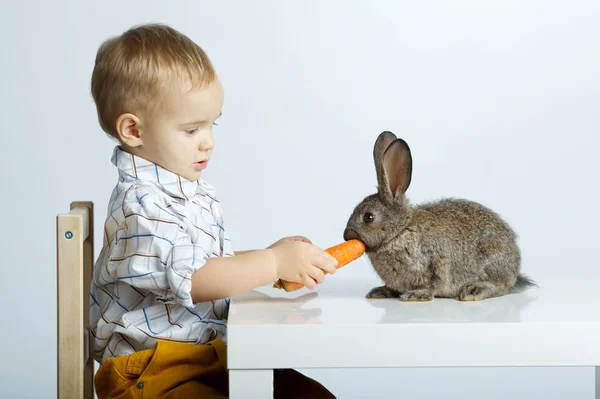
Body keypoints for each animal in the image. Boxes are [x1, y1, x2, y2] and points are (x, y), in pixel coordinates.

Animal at [344, 132, 536, 304]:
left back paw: (473, 290)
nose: (346, 236)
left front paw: (416, 295)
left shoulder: (436, 262)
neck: (400, 231)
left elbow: (433, 284)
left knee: (500, 286)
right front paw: (381, 291)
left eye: (368, 217)